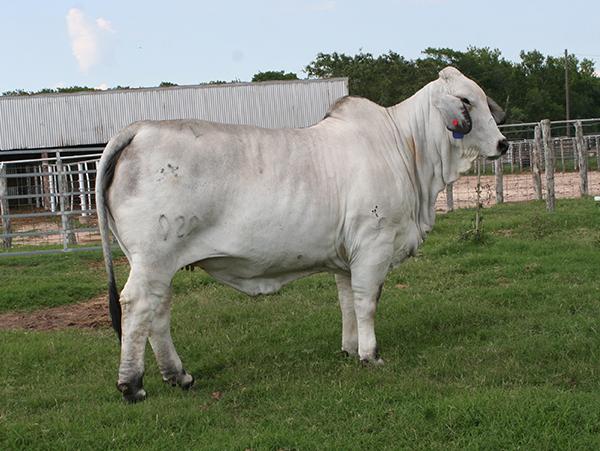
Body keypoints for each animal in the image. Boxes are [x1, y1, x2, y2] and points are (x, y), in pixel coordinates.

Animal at [97, 66, 506, 402]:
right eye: (467, 100)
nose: (503, 143)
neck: (407, 150)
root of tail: (140, 128)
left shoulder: (347, 256)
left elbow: (347, 300)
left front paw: (350, 348)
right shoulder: (374, 244)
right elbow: (367, 301)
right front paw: (370, 355)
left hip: (154, 262)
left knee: (158, 310)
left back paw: (178, 376)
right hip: (154, 257)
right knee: (136, 306)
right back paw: (132, 386)